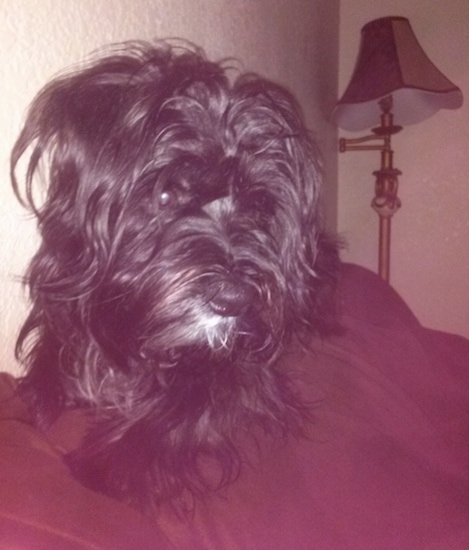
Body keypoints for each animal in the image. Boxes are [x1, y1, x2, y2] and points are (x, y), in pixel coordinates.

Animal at [10, 41, 336, 516]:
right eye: (167, 193)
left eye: (258, 206)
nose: (234, 299)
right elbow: (46, 374)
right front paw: (32, 405)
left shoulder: (241, 371)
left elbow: (186, 404)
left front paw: (109, 466)